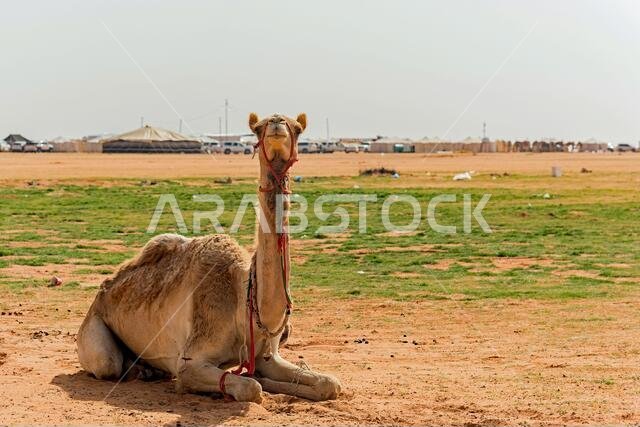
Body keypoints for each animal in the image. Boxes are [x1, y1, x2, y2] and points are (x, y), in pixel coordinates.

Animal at [77, 112, 341, 403]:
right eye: (257, 128)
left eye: (297, 127)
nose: (276, 123)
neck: (244, 300)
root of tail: (101, 292)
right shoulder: (190, 362)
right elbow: (250, 388)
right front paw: (258, 383)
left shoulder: (268, 355)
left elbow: (329, 383)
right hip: (94, 334)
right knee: (108, 363)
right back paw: (141, 370)